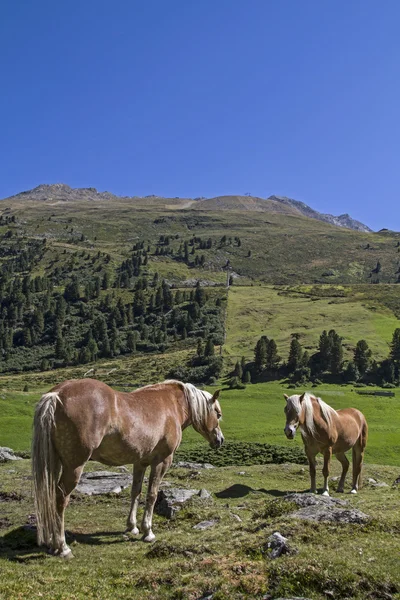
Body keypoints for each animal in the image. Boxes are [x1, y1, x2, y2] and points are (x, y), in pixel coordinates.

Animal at [32, 380, 223, 556]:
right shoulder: (162, 462)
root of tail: (57, 395)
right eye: (218, 414)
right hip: (74, 466)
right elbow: (152, 495)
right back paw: (62, 547)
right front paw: (148, 531)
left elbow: (135, 492)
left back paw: (52, 543)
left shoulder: (140, 462)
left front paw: (132, 527)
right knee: (60, 498)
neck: (172, 405)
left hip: (56, 463)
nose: (220, 440)